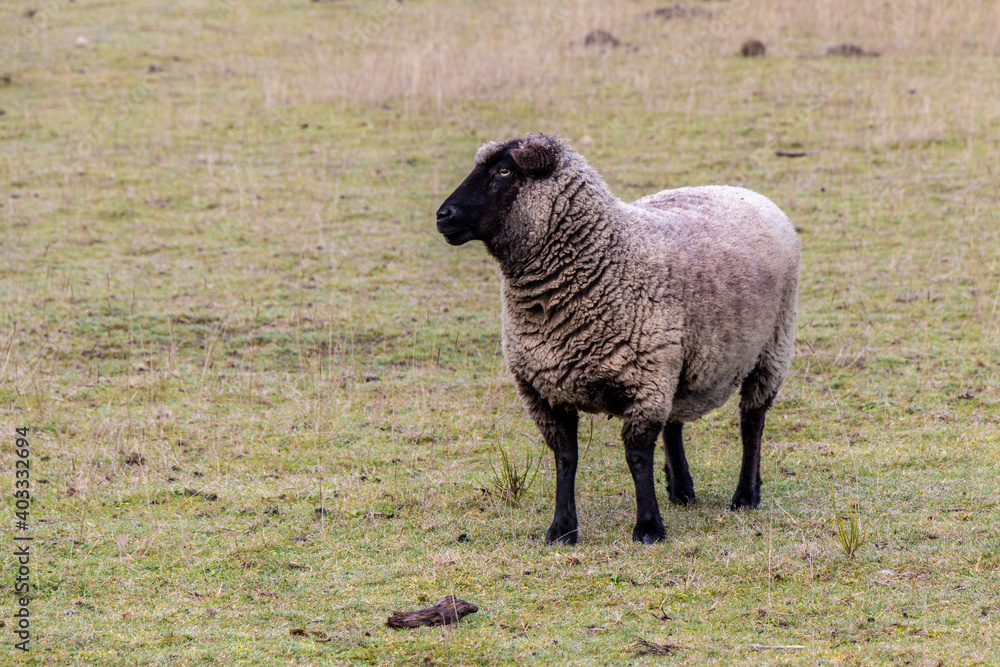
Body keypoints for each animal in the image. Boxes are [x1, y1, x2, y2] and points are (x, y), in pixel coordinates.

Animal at [436, 133, 800, 545]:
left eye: (503, 171)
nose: (442, 216)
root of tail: (741, 190)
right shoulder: (543, 389)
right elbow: (565, 458)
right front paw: (561, 529)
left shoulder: (643, 380)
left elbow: (637, 457)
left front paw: (648, 528)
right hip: (678, 361)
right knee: (675, 423)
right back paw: (681, 490)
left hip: (772, 348)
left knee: (752, 422)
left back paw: (745, 495)